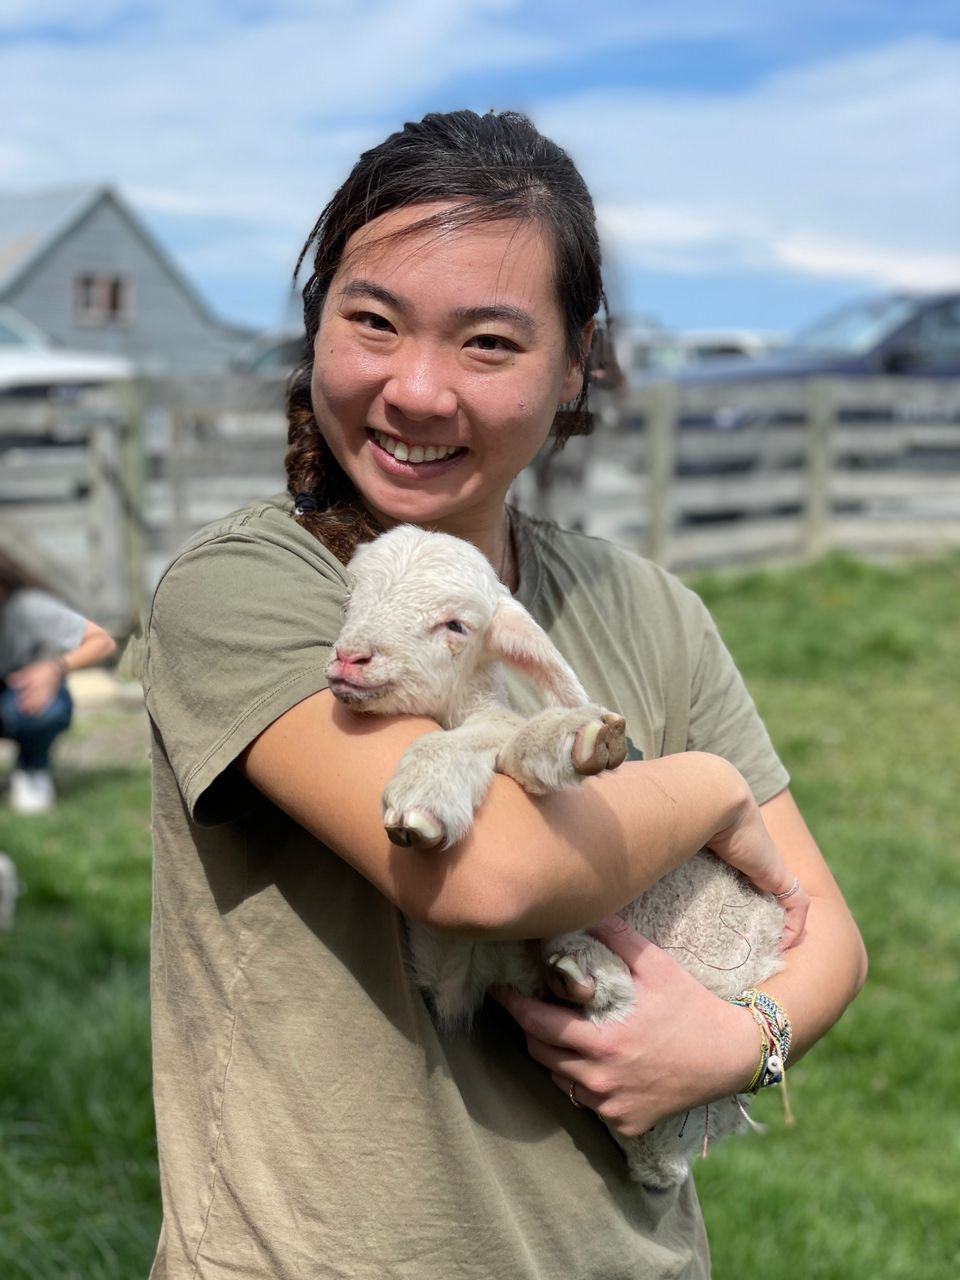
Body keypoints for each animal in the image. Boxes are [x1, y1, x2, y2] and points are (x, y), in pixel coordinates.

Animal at [327, 522, 783, 1187]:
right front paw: (429, 802)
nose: (350, 659)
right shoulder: (456, 973)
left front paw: (553, 744)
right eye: (350, 595)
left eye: (455, 625)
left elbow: (498, 733)